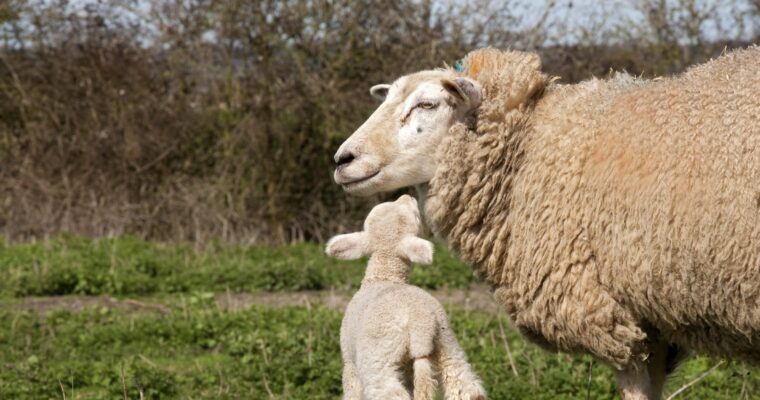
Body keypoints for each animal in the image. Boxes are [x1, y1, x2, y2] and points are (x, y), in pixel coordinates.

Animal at [326, 194, 486, 400]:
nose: (407, 196)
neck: (384, 276)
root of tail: (420, 324)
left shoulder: (349, 361)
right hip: (447, 344)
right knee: (465, 386)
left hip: (378, 357)